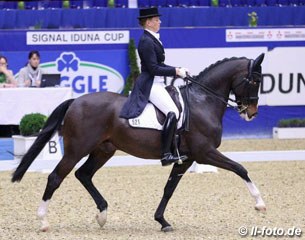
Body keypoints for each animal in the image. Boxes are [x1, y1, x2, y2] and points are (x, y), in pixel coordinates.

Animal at [11, 54, 266, 231]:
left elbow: (169, 189)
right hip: (76, 149)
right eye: (254, 80)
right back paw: (43, 221)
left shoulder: (186, 158)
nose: (252, 113)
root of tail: (75, 101)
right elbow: (240, 168)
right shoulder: (205, 153)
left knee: (83, 174)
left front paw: (162, 221)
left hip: (103, 150)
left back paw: (102, 214)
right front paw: (260, 204)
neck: (202, 101)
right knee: (56, 177)